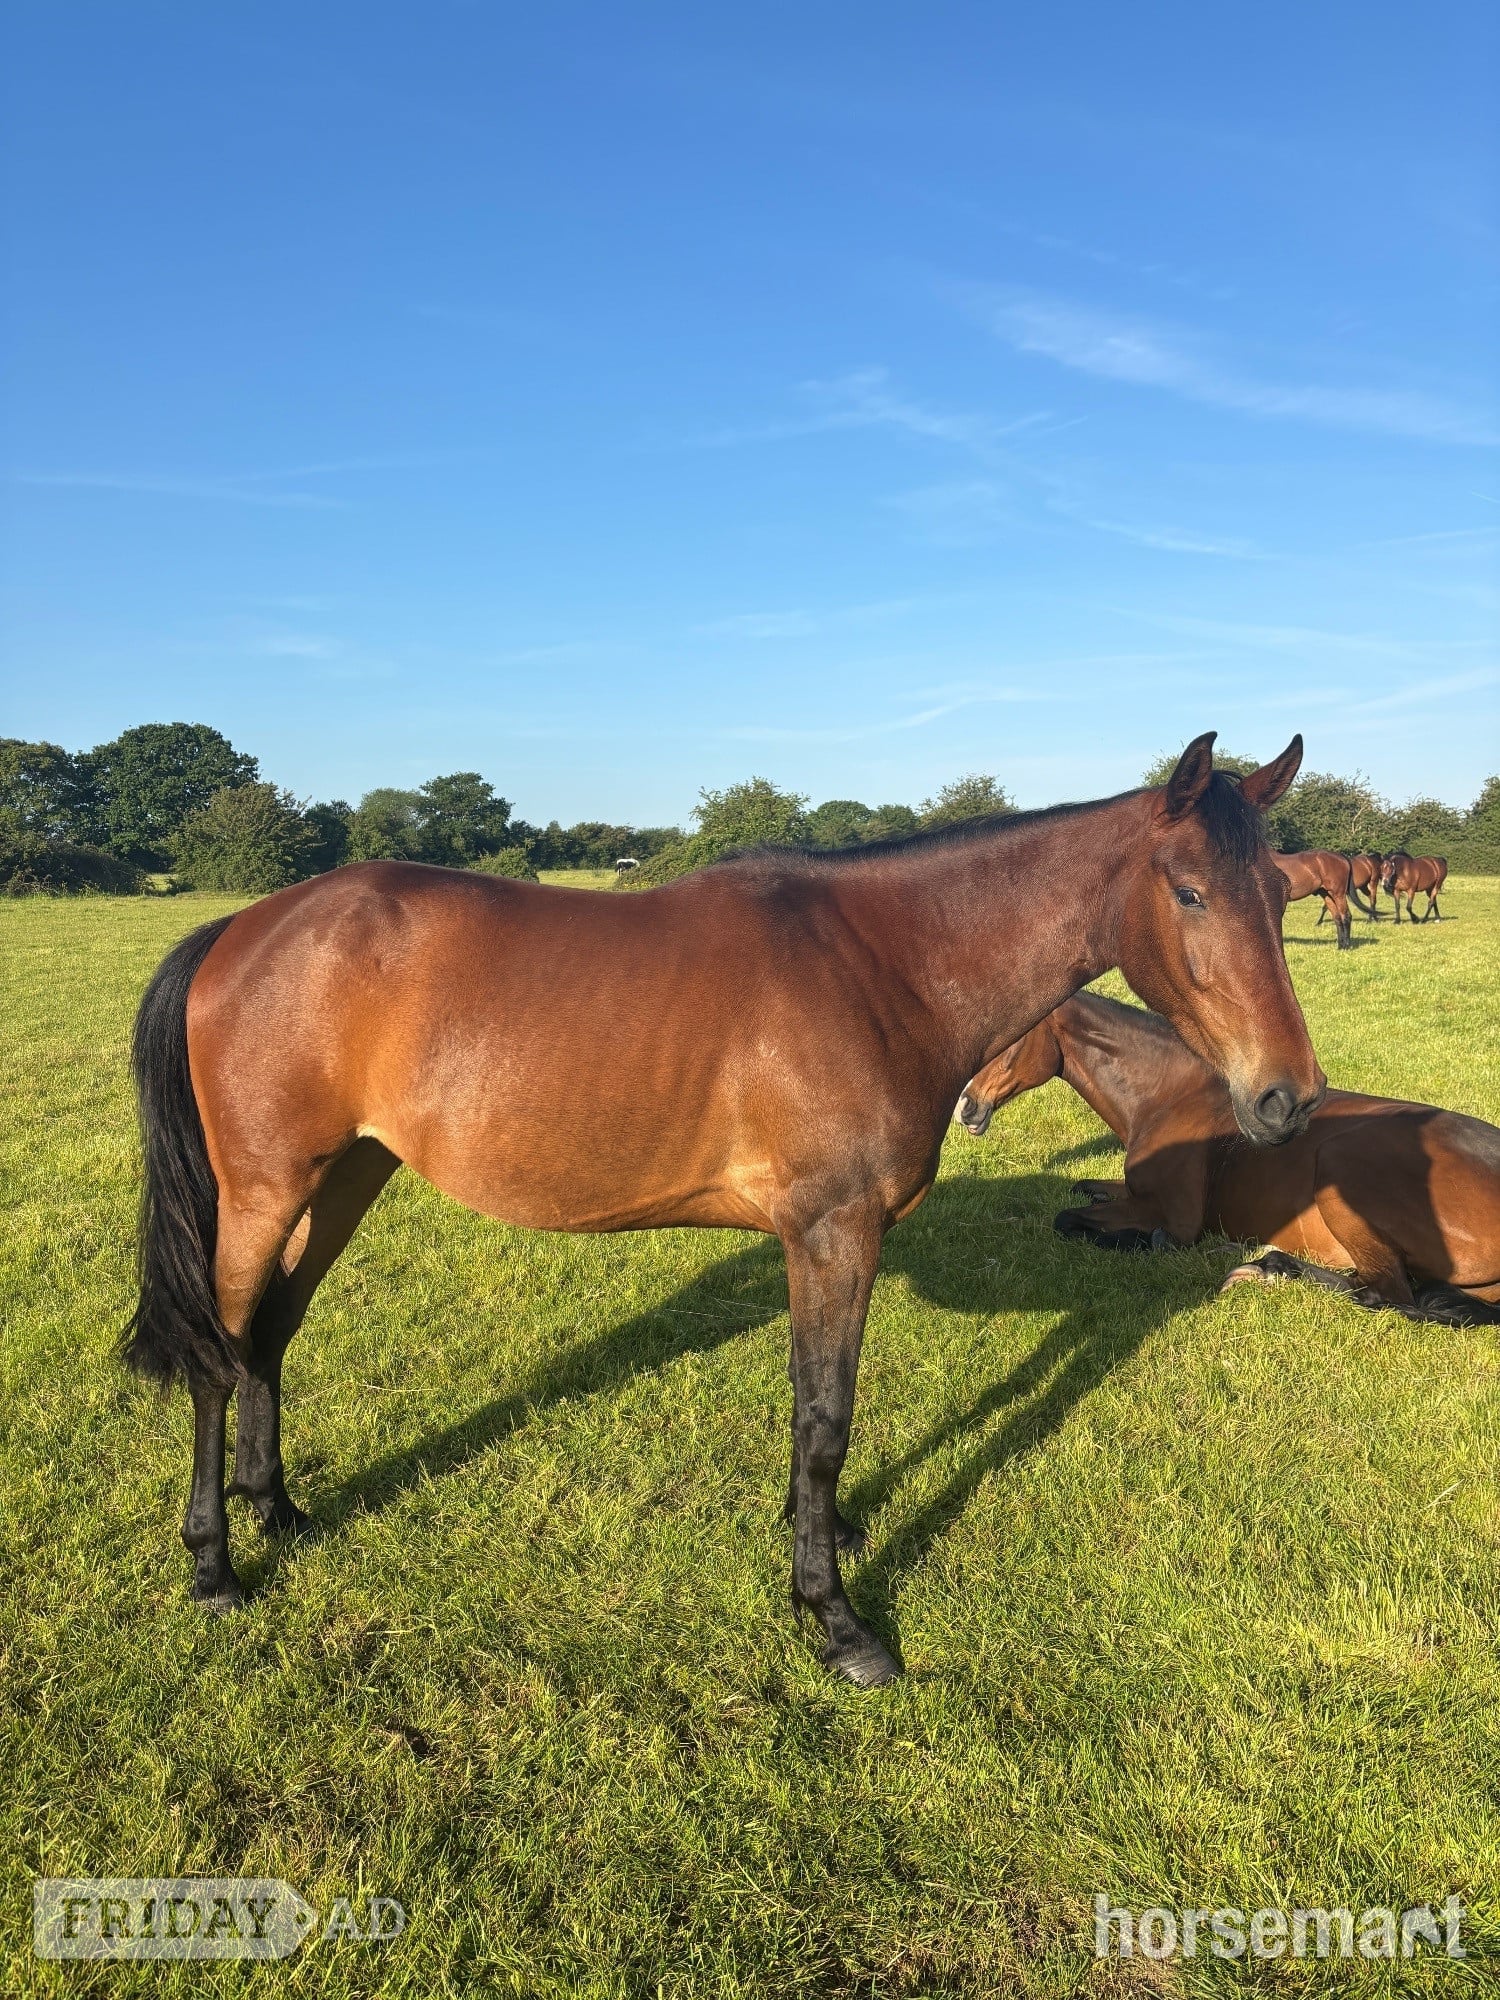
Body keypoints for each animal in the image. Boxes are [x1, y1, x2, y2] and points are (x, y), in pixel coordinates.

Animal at [124, 732, 1321, 1688]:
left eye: (1281, 893)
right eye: (1190, 892)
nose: (1289, 1097)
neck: (882, 965)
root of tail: (242, 929)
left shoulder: (821, 1243)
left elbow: (816, 1409)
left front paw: (824, 1536)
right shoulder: (833, 1231)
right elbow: (826, 1416)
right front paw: (835, 1617)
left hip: (345, 1178)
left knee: (270, 1335)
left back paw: (278, 1509)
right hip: (265, 1193)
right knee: (218, 1352)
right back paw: (215, 1564)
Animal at [957, 993, 1500, 1327]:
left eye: (1010, 1040)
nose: (967, 1107)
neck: (1169, 1094)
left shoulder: (1175, 1218)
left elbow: (1070, 1219)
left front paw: (1144, 1241)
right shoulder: (1132, 1190)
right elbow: (1080, 1190)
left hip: (1340, 1164)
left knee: (1386, 1295)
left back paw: (1265, 1267)